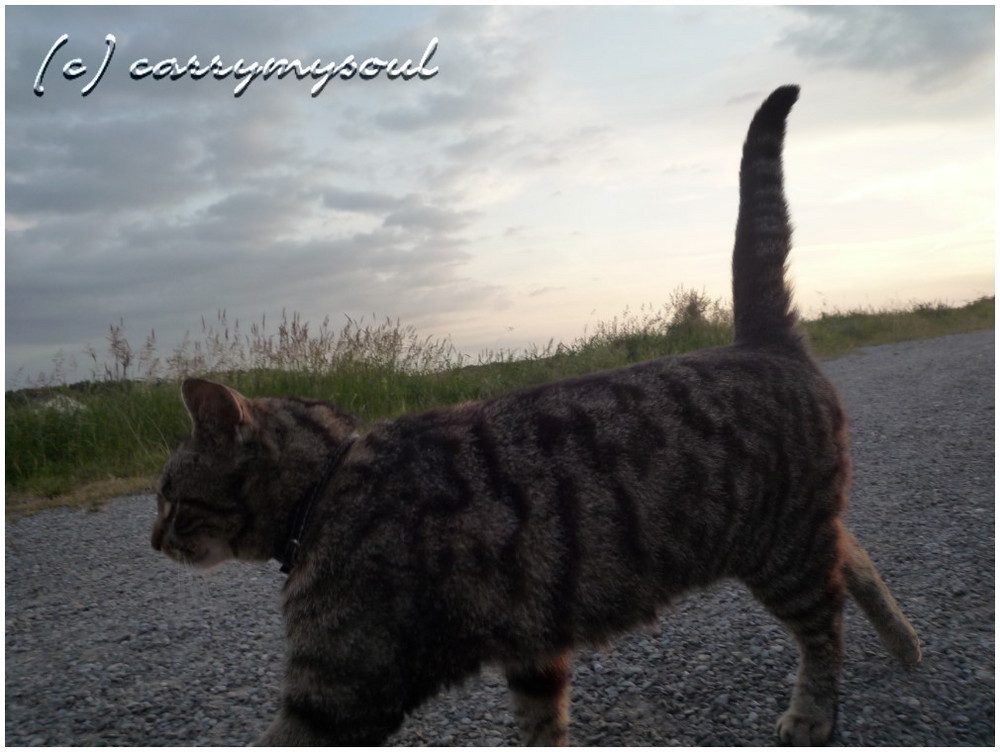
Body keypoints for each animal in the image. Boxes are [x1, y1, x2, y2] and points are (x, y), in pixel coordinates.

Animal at [152, 85, 924, 744]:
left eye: (170, 499)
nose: (152, 539)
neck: (328, 484)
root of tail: (760, 341)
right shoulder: (533, 651)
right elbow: (539, 726)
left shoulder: (337, 691)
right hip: (795, 533)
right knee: (851, 559)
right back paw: (904, 640)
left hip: (782, 549)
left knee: (825, 626)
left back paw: (816, 711)